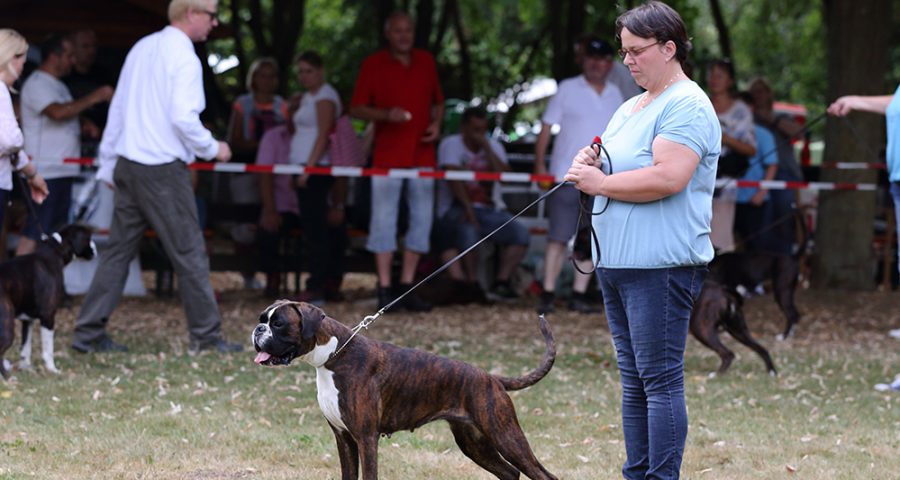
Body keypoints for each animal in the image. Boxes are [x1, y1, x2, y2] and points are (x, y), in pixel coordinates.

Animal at [0, 225, 96, 378]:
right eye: (88, 238)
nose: (95, 248)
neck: (55, 250)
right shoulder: (48, 316)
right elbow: (48, 350)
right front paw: (52, 369)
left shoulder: (27, 320)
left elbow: (25, 348)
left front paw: (26, 368)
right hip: (7, 329)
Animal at [253, 300, 560, 480]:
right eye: (263, 319)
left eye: (278, 323)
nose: (257, 329)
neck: (334, 356)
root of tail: (492, 378)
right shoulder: (344, 438)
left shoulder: (366, 438)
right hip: (474, 442)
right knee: (510, 473)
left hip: (506, 436)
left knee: (542, 475)